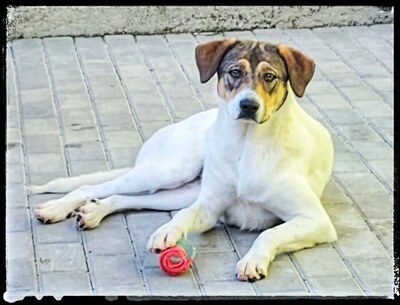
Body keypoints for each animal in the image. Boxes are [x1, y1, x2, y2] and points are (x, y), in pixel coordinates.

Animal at [32, 38, 338, 282]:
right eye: (234, 72)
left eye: (270, 77)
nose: (248, 105)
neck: (246, 144)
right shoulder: (209, 207)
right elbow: (184, 216)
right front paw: (167, 231)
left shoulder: (315, 220)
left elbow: (269, 233)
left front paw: (252, 260)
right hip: (171, 170)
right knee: (92, 188)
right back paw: (56, 209)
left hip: (181, 190)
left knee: (124, 198)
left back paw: (93, 212)